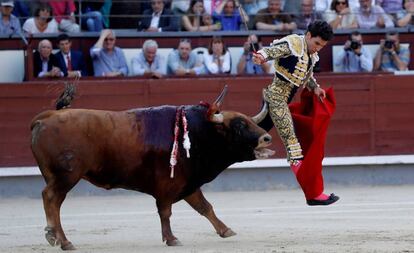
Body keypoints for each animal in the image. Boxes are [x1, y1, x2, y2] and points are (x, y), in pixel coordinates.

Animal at [30, 84, 274, 249]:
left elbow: (205, 207)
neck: (198, 133)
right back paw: (62, 240)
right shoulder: (168, 184)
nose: (267, 139)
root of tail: (47, 116)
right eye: (239, 125)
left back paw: (55, 236)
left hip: (56, 176)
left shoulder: (189, 182)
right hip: (67, 176)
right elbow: (165, 211)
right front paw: (171, 238)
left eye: (249, 121)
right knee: (51, 198)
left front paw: (225, 230)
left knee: (51, 200)